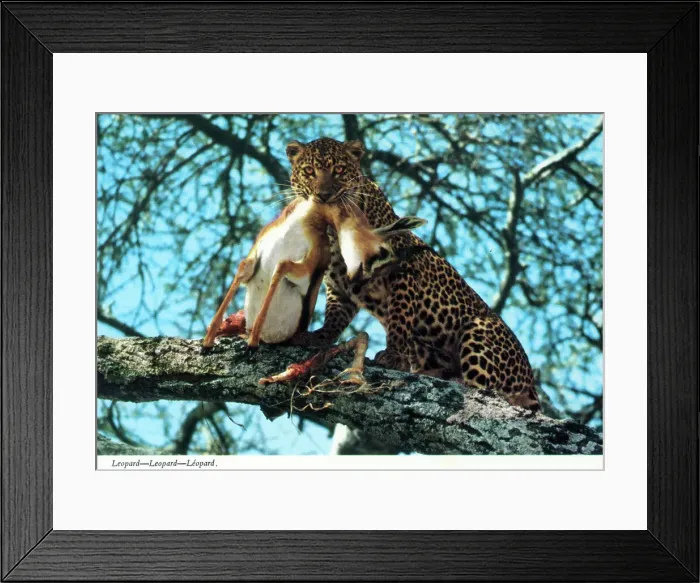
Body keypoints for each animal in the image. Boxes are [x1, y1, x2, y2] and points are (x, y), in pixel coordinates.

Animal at [285, 137, 540, 412]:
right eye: (309, 172)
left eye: (339, 170)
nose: (324, 196)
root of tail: (531, 384)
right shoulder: (341, 283)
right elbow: (335, 315)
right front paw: (320, 337)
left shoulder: (402, 270)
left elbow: (400, 316)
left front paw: (394, 355)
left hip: (479, 331)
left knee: (486, 389)